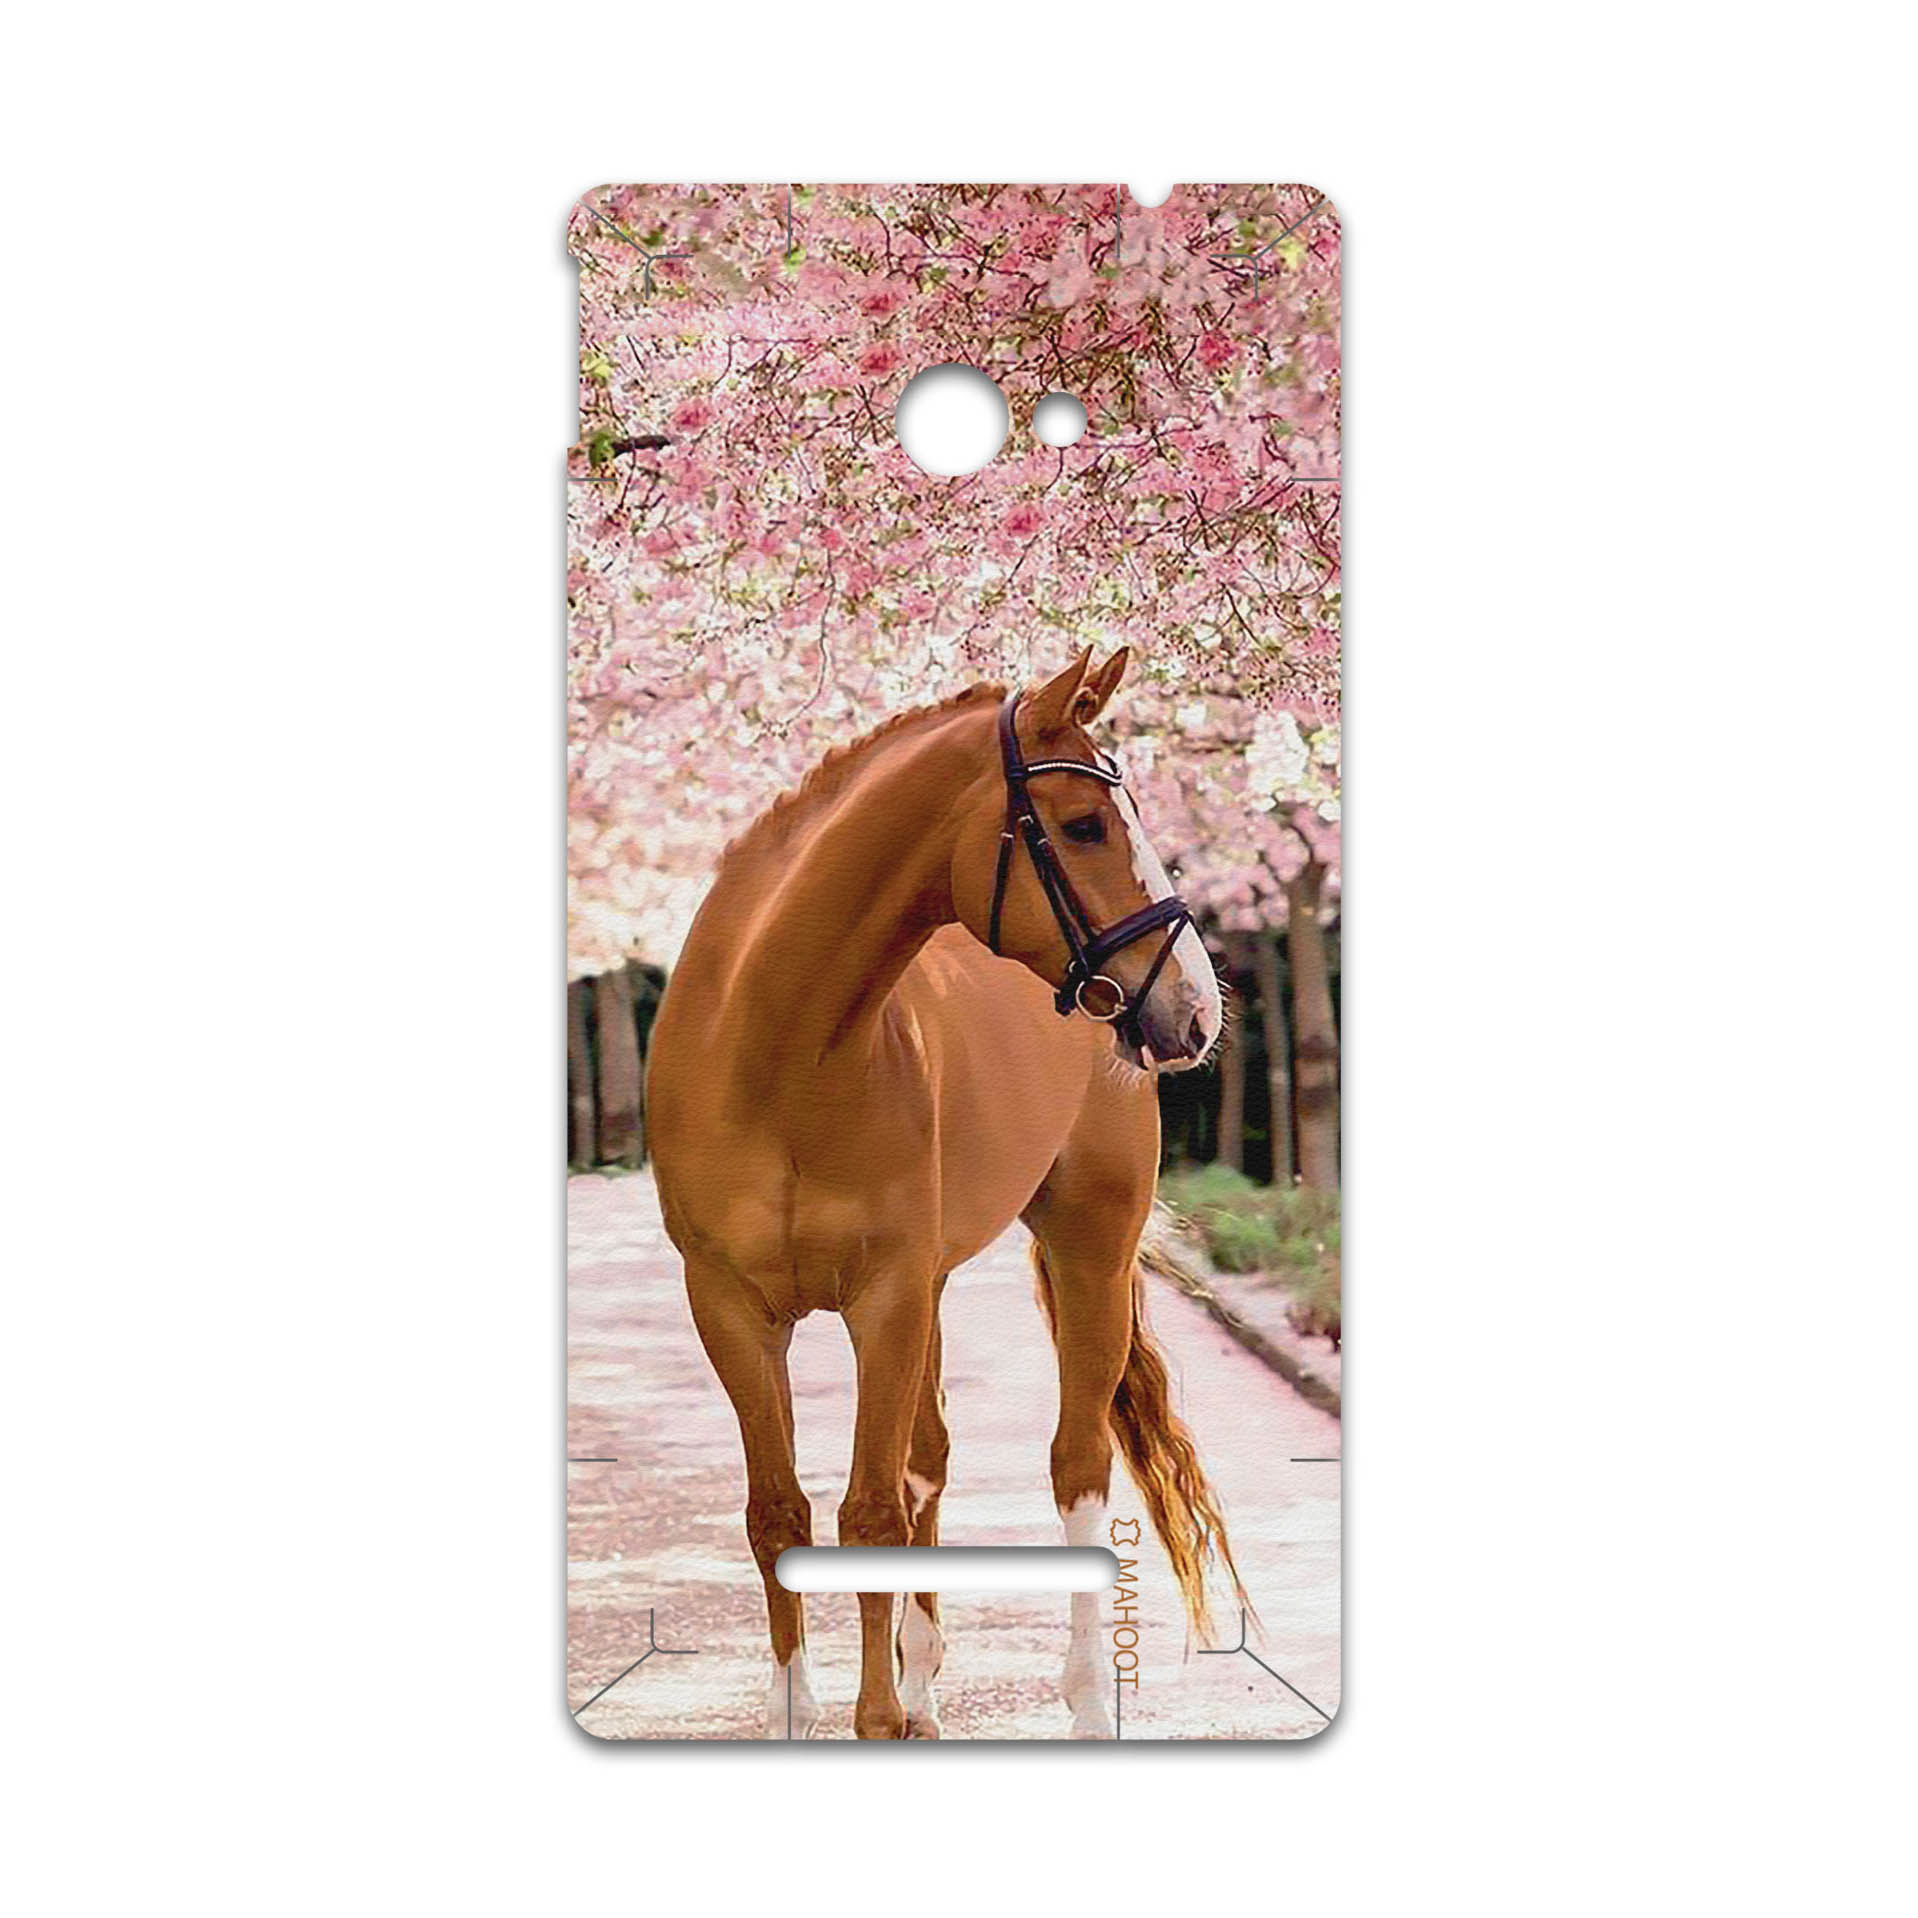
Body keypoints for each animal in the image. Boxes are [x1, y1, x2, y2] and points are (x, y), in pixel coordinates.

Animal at [646, 646, 1240, 1739]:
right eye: (1084, 824)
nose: (1194, 1008)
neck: (774, 1053)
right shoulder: (732, 1308)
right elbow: (780, 1512)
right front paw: (815, 1710)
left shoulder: (883, 1298)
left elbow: (870, 1509)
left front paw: (875, 1718)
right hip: (931, 1289)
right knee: (931, 1459)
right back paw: (925, 1686)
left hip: (1084, 1253)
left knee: (1075, 1464)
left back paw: (1083, 1701)